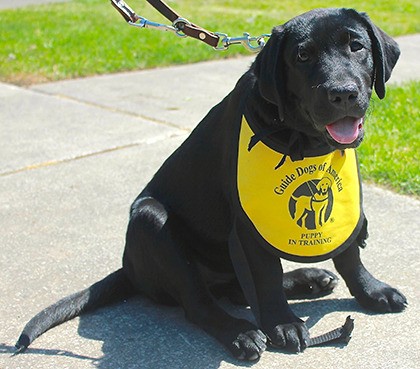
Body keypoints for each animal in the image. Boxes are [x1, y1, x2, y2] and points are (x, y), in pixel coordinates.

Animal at [16, 7, 406, 360]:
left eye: (356, 46)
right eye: (302, 55)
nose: (342, 93)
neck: (303, 140)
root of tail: (129, 269)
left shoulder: (341, 203)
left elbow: (348, 252)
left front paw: (372, 291)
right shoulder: (248, 226)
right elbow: (265, 276)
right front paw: (282, 323)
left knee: (236, 290)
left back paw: (308, 280)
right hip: (152, 221)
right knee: (200, 302)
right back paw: (241, 332)